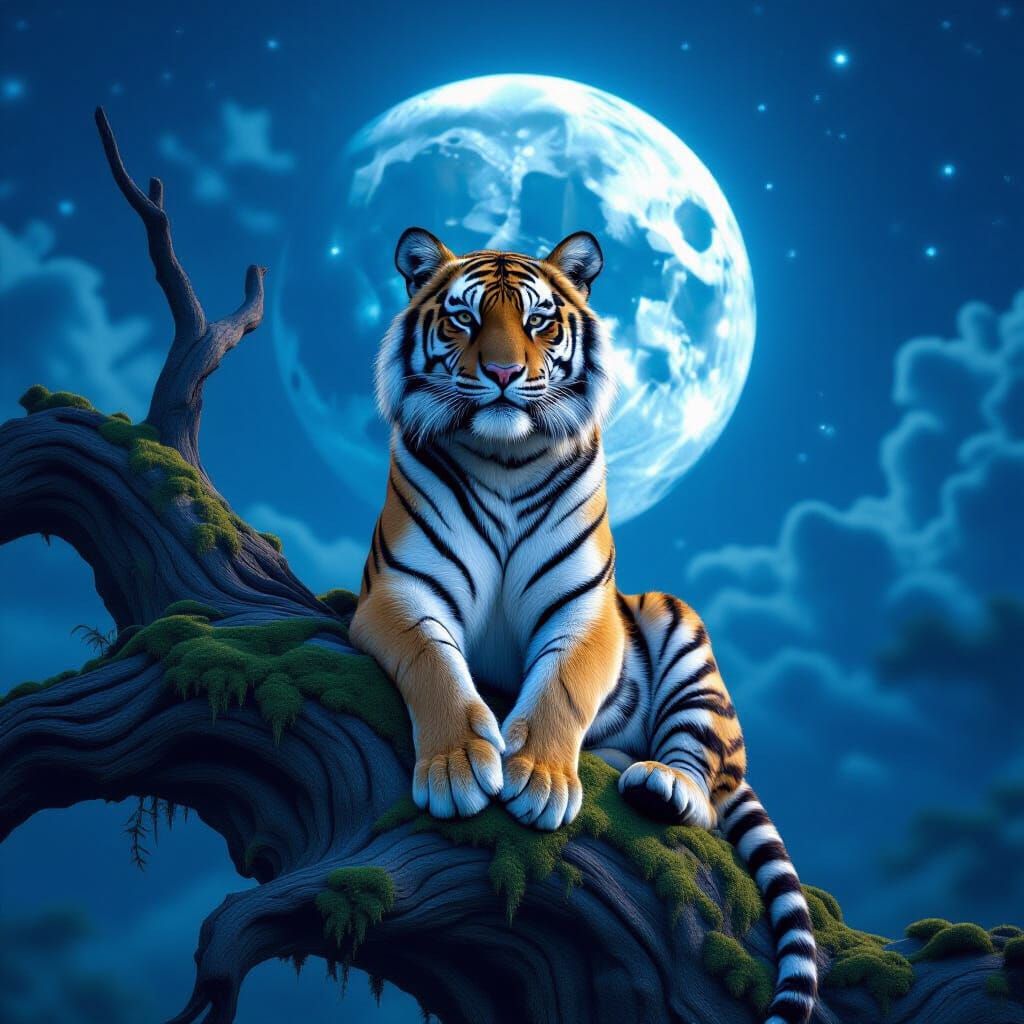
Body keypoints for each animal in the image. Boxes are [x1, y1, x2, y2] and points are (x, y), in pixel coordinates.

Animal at [349, 227, 818, 1024]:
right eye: (464, 319)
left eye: (539, 322)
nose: (504, 373)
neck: (504, 457)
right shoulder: (401, 590)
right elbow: (433, 664)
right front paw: (455, 768)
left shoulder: (586, 608)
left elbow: (562, 686)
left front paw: (538, 778)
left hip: (680, 633)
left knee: (705, 779)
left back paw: (662, 782)